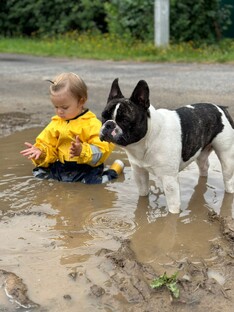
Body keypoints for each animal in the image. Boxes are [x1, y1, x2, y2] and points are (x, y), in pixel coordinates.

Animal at [100, 79, 234, 213]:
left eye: (124, 120)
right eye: (103, 116)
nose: (109, 124)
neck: (147, 139)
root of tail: (220, 108)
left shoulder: (169, 181)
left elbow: (173, 209)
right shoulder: (139, 174)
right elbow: (143, 195)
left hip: (226, 158)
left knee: (228, 179)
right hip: (200, 152)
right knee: (204, 166)